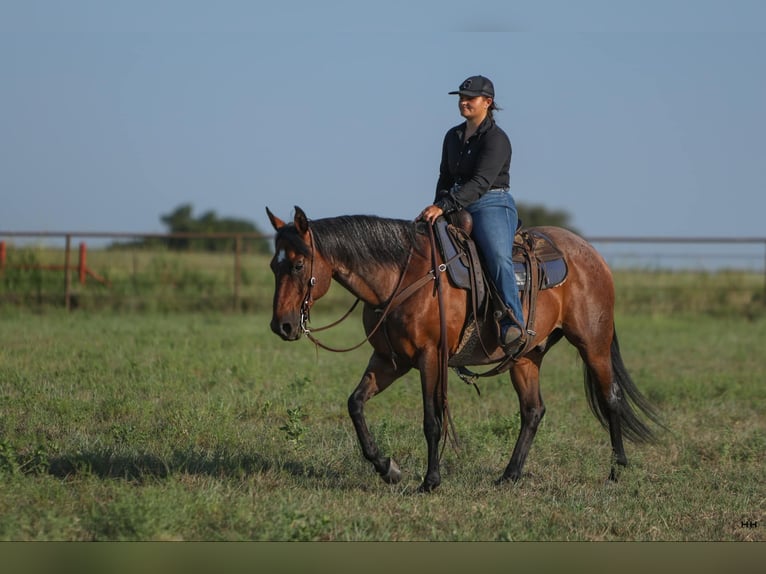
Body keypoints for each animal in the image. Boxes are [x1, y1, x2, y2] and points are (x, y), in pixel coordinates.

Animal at [268, 207, 664, 496]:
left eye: (299, 264)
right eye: (274, 265)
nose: (281, 326)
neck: (401, 277)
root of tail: (592, 255)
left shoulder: (430, 357)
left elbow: (432, 420)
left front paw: (429, 482)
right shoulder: (390, 361)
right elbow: (355, 404)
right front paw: (388, 469)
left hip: (592, 342)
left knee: (610, 397)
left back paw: (616, 471)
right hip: (526, 356)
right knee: (533, 411)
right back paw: (509, 476)